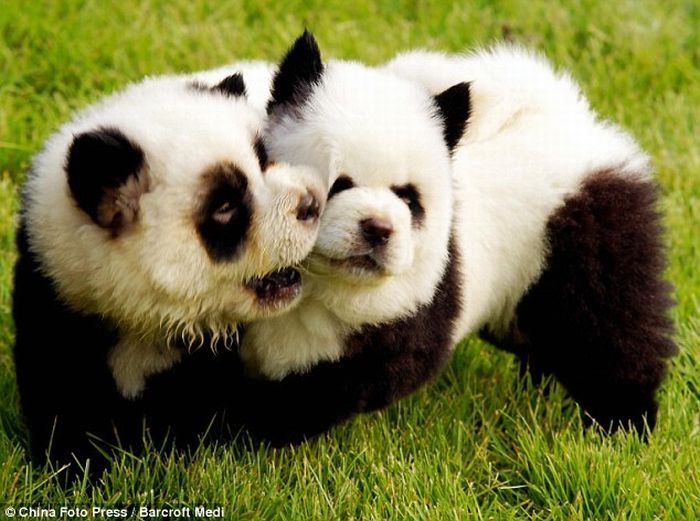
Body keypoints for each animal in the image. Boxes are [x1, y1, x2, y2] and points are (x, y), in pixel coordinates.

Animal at [11, 66, 322, 472]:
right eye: (225, 207)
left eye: (265, 159)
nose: (312, 203)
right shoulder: (57, 292)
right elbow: (60, 392)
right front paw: (76, 466)